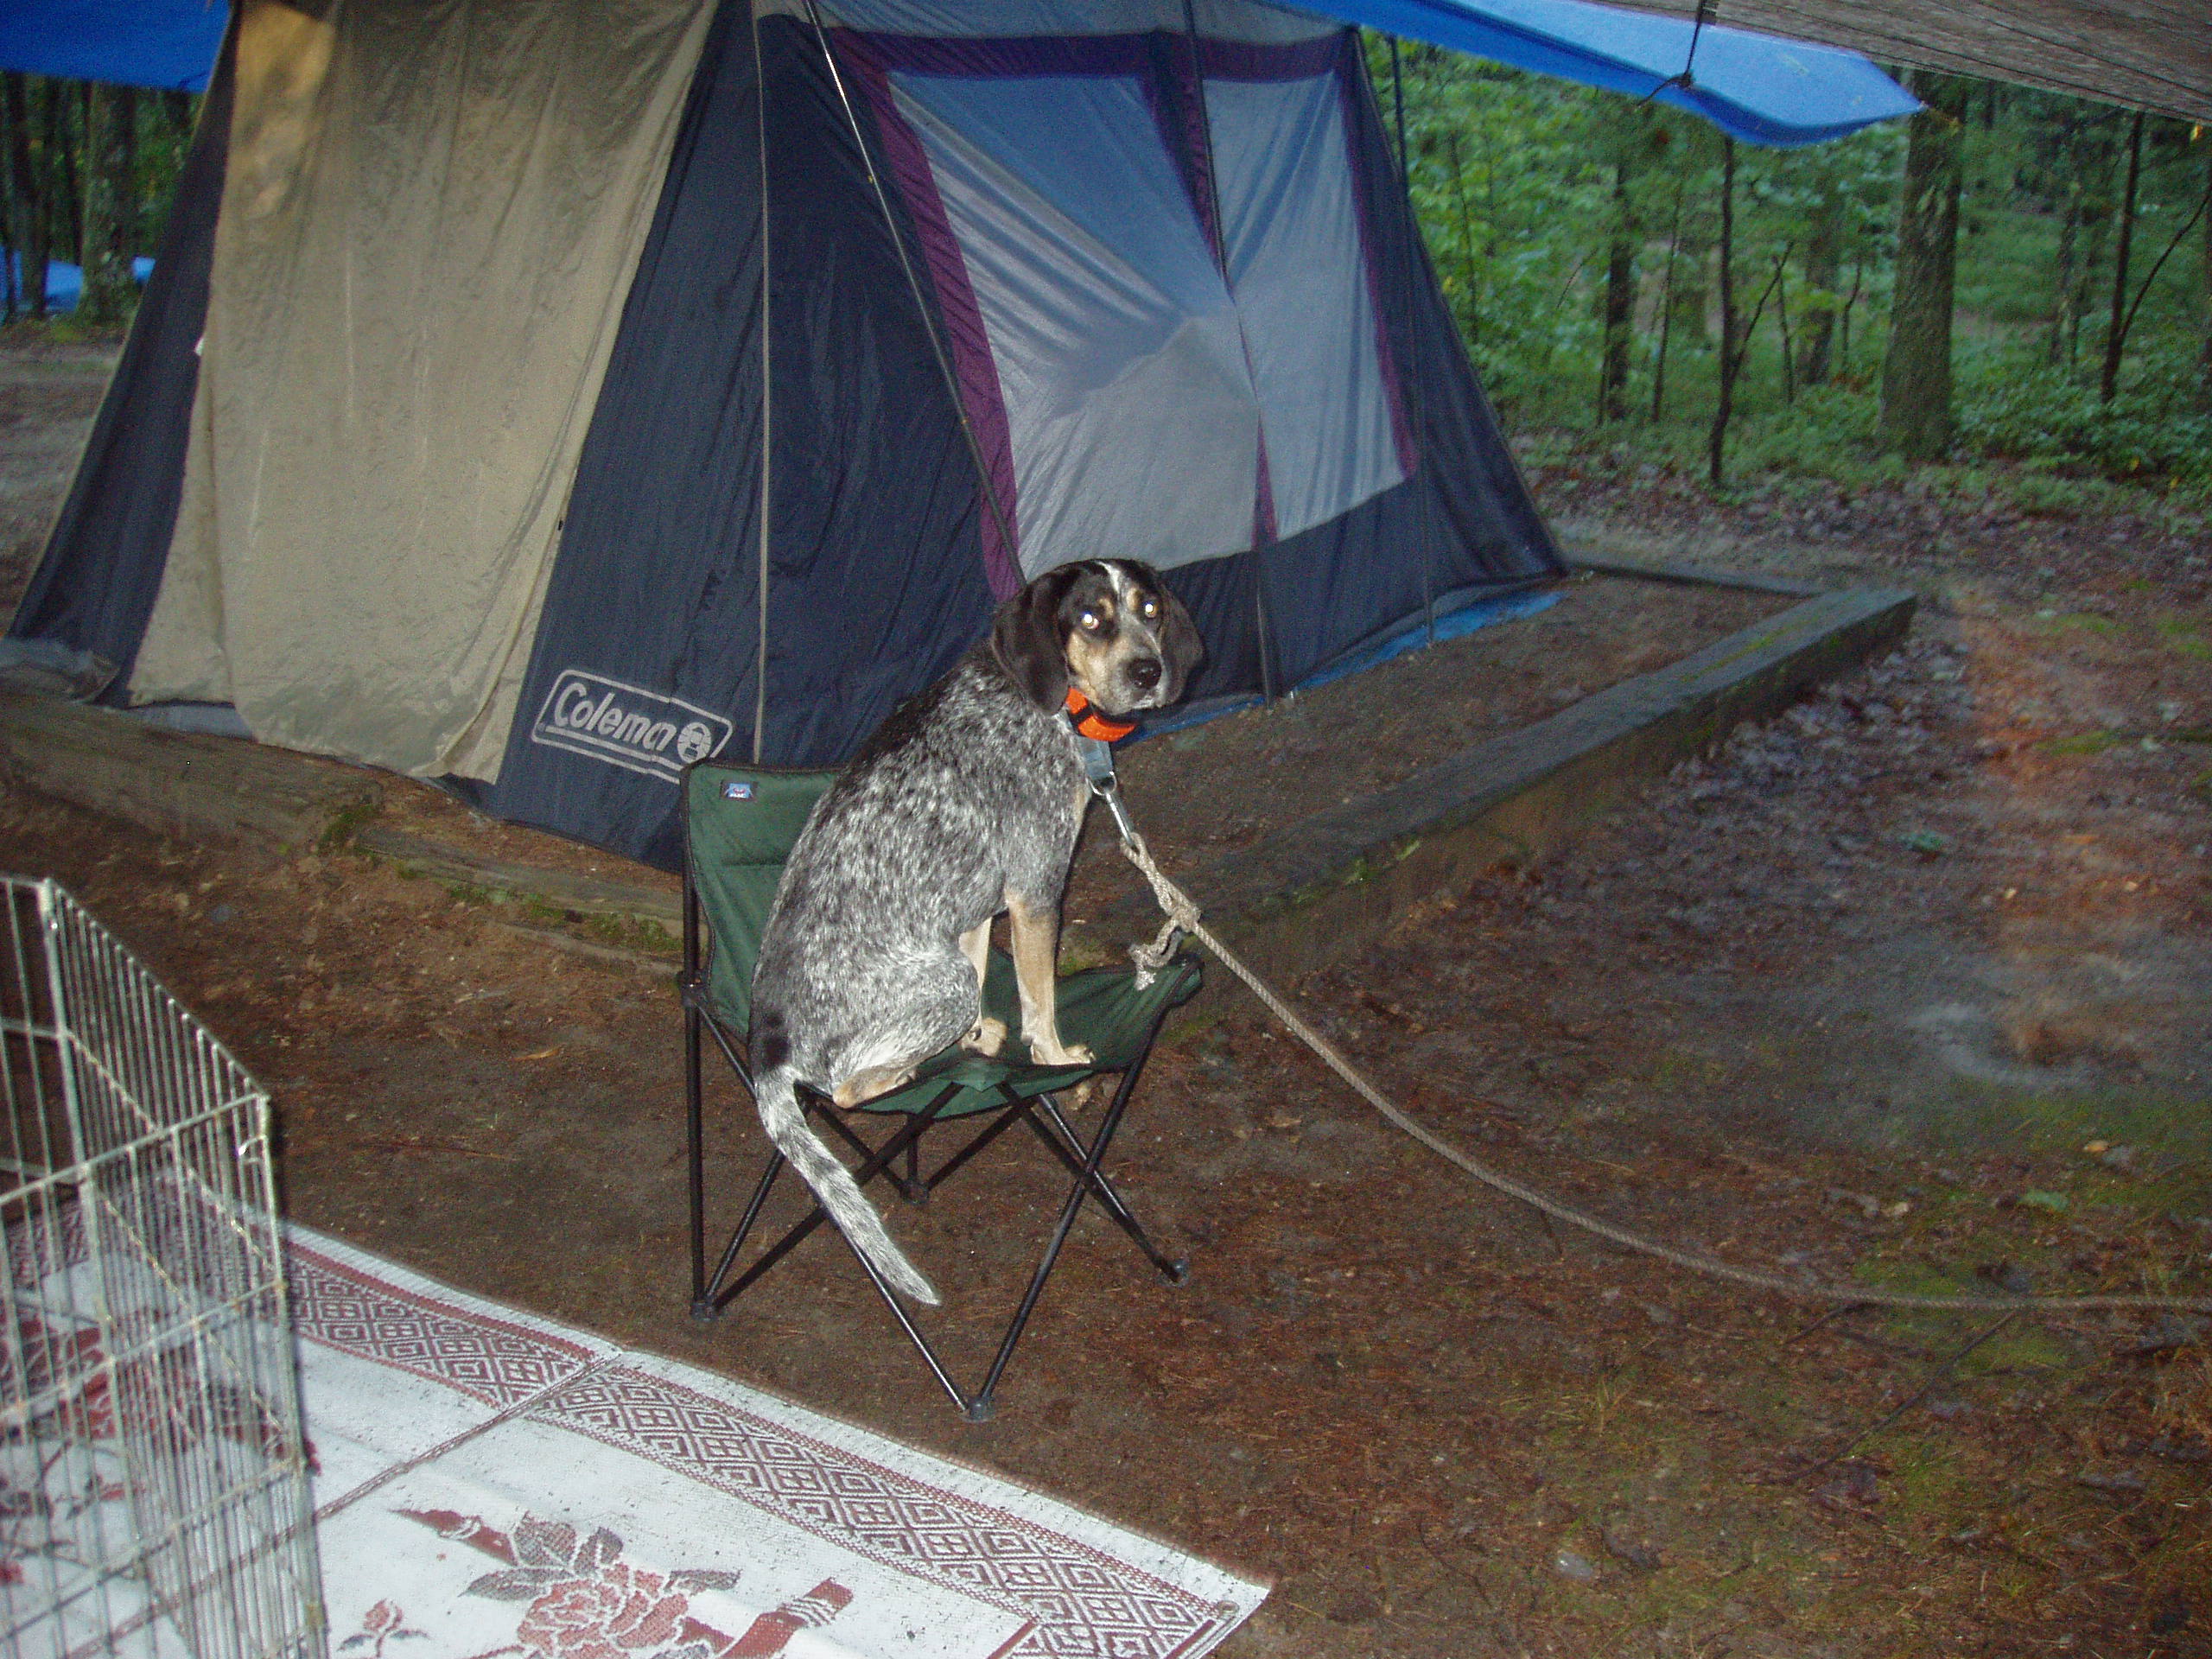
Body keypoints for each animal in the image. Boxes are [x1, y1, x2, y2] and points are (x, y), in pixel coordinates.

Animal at [747, 566, 1203, 1309]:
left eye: (1151, 609)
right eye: (1090, 618)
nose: (1148, 671)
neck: (1044, 702)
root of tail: (767, 1047)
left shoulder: (974, 909)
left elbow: (993, 978)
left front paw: (982, 1038)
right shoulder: (1036, 887)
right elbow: (1040, 1000)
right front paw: (1054, 1056)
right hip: (943, 986)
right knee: (844, 1089)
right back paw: (905, 1069)